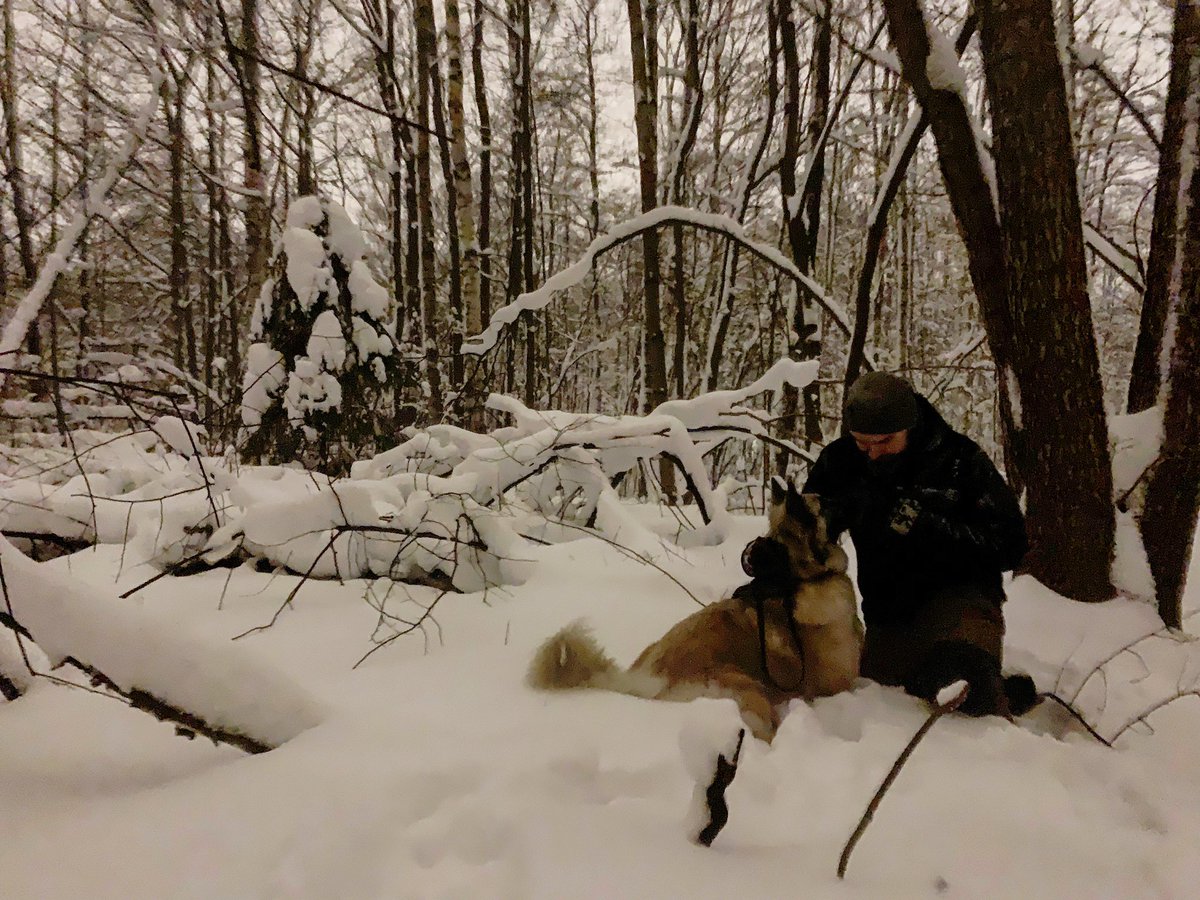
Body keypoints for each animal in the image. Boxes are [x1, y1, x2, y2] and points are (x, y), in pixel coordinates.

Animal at [528, 482, 864, 744]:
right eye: (828, 502)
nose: (858, 494)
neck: (798, 577)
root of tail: (646, 680)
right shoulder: (835, 686)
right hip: (747, 687)